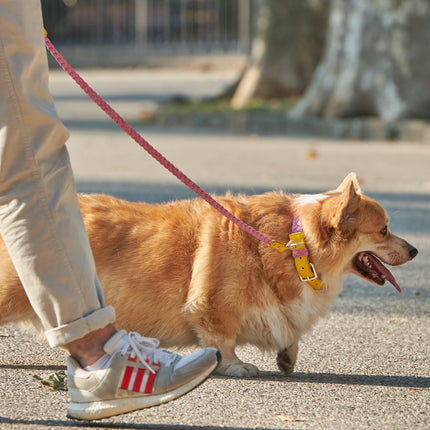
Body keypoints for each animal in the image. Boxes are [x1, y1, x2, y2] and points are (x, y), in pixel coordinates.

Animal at [0, 174, 416, 376]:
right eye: (383, 231)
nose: (414, 251)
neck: (297, 244)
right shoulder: (213, 307)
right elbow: (223, 340)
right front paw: (236, 366)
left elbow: (288, 331)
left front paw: (287, 356)